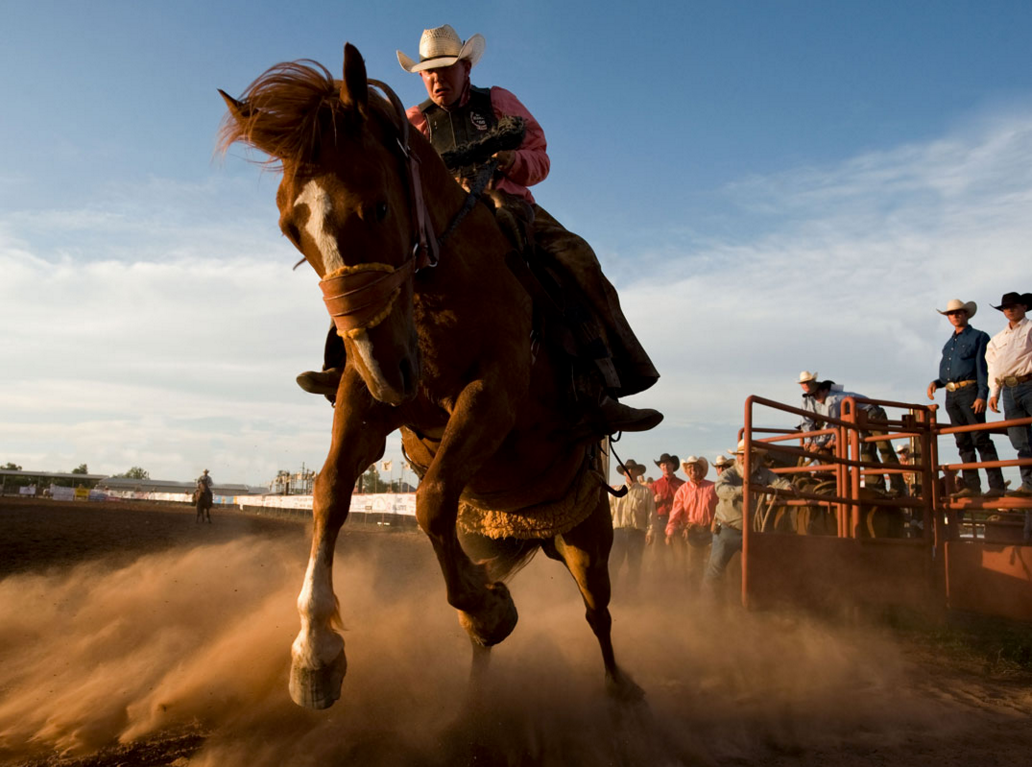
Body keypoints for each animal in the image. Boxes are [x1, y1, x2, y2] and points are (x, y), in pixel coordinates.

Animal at [217, 44, 652, 710]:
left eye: (377, 204)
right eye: (293, 229)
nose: (387, 367)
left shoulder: (494, 394)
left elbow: (429, 498)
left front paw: (489, 610)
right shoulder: (366, 396)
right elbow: (330, 491)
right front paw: (316, 652)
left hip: (589, 538)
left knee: (597, 613)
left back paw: (619, 686)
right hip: (493, 534)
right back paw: (474, 695)